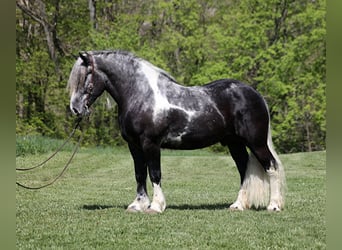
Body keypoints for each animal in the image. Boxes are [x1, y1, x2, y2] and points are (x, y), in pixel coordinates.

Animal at [67, 50, 286, 213]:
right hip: (235, 143)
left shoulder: (150, 143)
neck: (141, 94)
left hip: (256, 142)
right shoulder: (134, 145)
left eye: (85, 77)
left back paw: (274, 206)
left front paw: (155, 206)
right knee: (244, 170)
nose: (75, 108)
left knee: (272, 167)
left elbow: (154, 173)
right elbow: (140, 173)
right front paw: (137, 205)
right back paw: (238, 205)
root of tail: (254, 94)